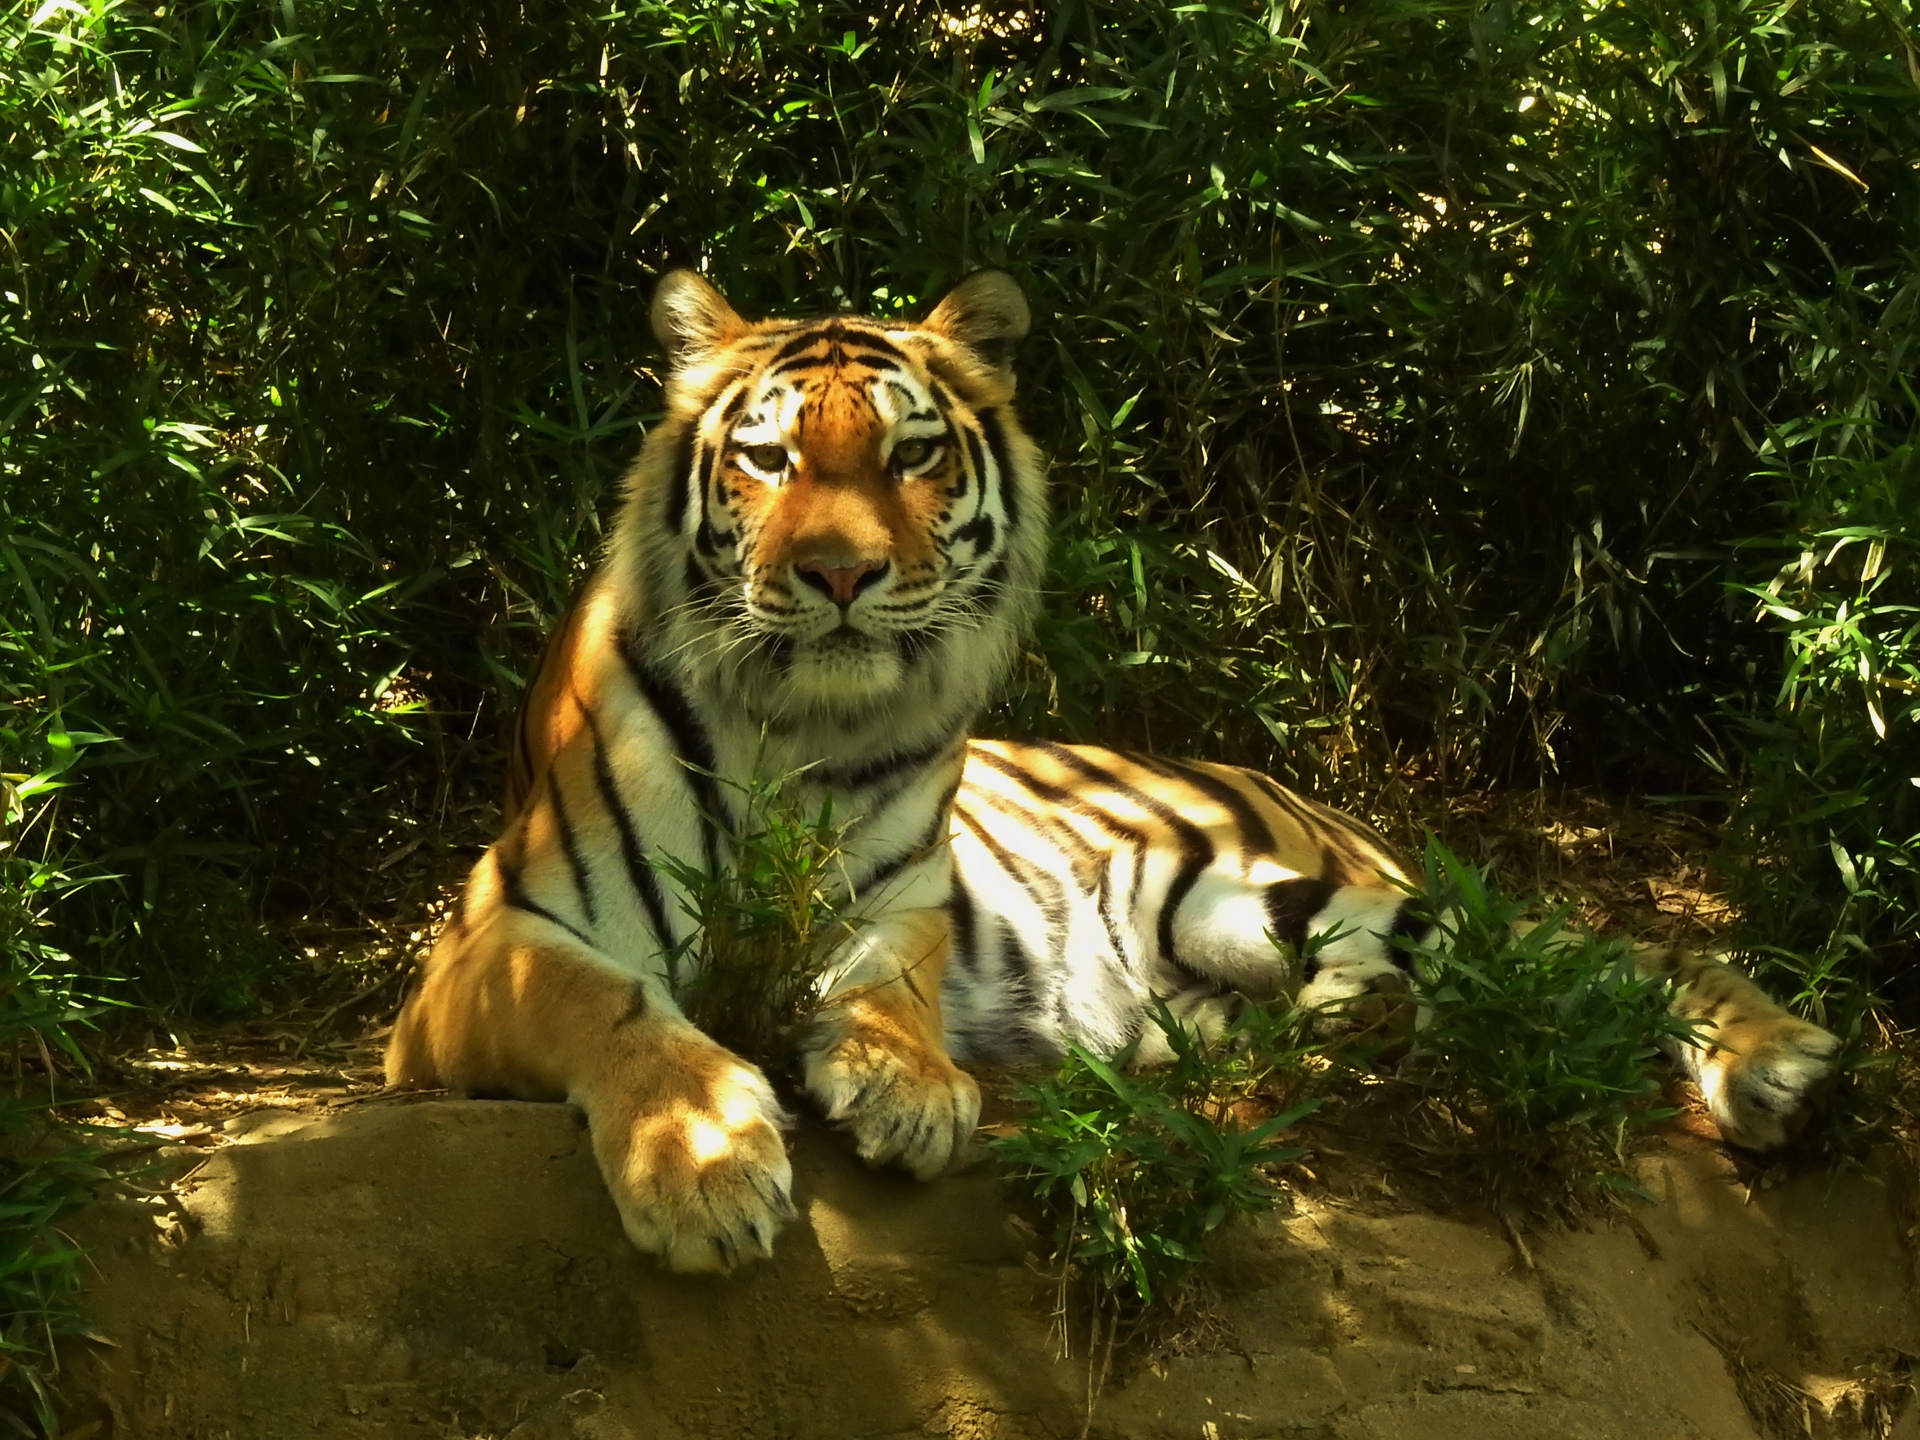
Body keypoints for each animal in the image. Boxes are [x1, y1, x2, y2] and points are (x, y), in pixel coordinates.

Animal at [389, 268, 1843, 1274]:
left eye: (912, 454)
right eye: (768, 458)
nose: (842, 573)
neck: (796, 728)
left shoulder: (898, 907)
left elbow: (889, 991)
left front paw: (908, 1086)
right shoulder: (489, 942)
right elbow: (610, 1005)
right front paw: (700, 1167)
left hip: (1266, 888)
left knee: (1594, 948)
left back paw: (1778, 1064)